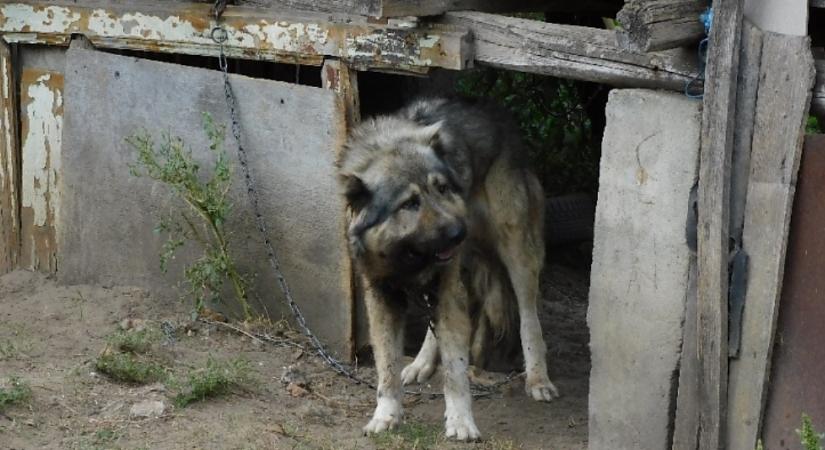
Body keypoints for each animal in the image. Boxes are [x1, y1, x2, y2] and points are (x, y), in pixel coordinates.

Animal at [334, 96, 560, 440]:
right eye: (410, 204)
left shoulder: (449, 287)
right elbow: (386, 366)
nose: (458, 232)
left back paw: (537, 379)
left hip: (516, 252)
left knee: (528, 317)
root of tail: (493, 110)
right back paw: (420, 364)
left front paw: (461, 422)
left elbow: (455, 370)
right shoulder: (382, 295)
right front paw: (386, 414)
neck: (408, 256)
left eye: (441, 189)